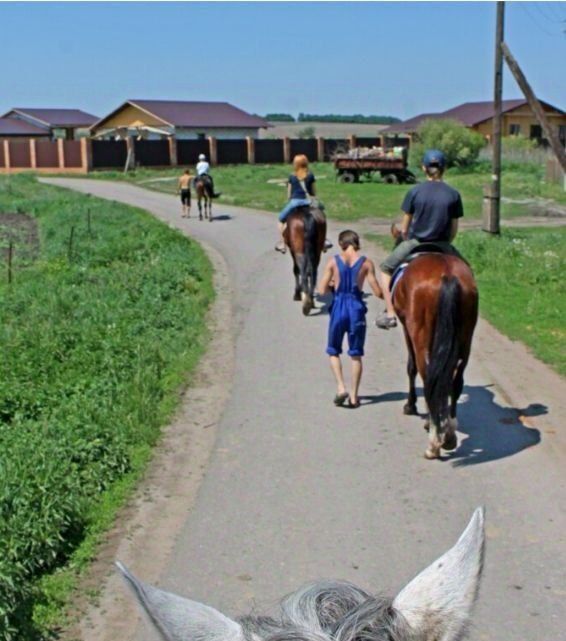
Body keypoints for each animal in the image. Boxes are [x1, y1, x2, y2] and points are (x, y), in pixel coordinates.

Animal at [392, 222, 482, 458]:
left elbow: (411, 367)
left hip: (420, 335)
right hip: (465, 339)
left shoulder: (407, 330)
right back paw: (449, 433)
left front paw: (411, 406)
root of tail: (447, 275)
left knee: (427, 374)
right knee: (455, 380)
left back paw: (434, 440)